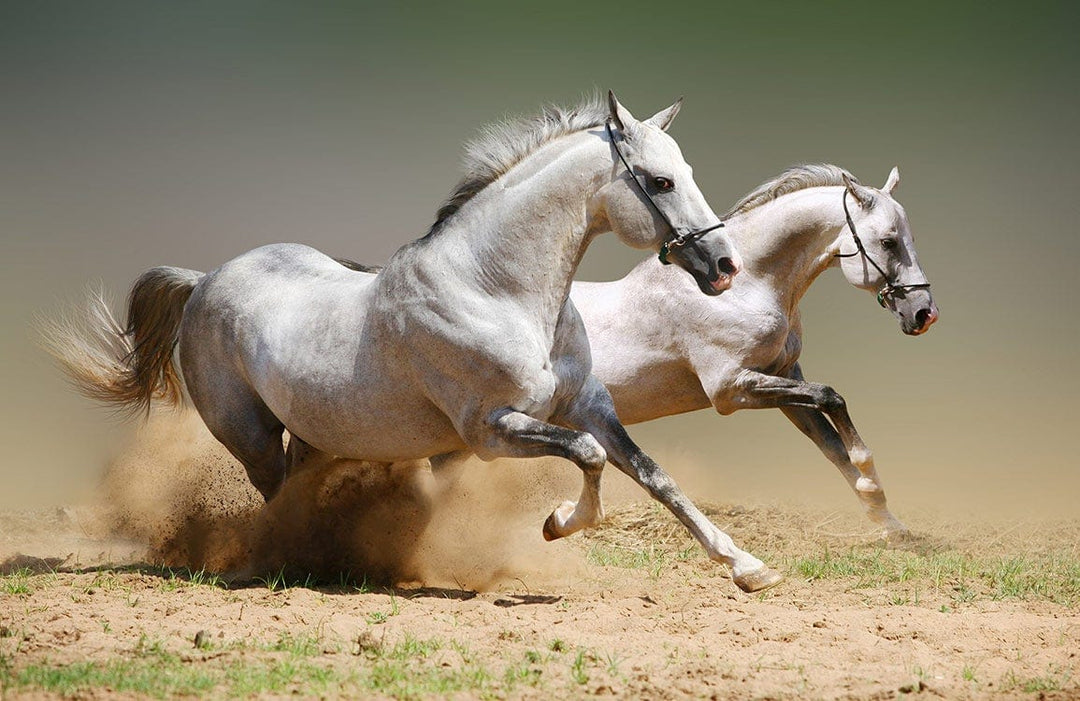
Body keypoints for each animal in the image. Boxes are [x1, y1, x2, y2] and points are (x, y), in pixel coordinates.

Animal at [46, 92, 785, 593]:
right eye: (660, 181)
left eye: (685, 171)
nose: (724, 265)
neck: (495, 289)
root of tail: (204, 281)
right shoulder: (490, 430)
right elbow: (590, 457)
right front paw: (556, 522)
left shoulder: (588, 405)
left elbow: (653, 474)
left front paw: (748, 567)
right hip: (250, 435)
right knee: (275, 497)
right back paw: (286, 560)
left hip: (313, 432)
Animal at [570, 164, 938, 537]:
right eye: (889, 242)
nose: (925, 314)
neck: (744, 288)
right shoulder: (730, 389)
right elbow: (831, 397)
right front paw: (870, 480)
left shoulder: (783, 378)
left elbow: (833, 445)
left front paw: (889, 522)